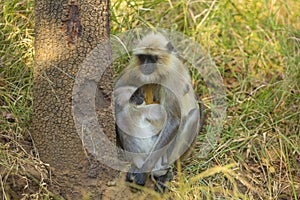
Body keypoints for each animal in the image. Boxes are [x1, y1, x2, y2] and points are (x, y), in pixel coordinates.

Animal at [114, 32, 202, 192]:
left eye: (153, 58)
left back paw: (162, 172)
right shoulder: (134, 67)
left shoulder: (170, 78)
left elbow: (173, 120)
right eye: (143, 57)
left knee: (193, 115)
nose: (147, 65)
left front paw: (144, 172)